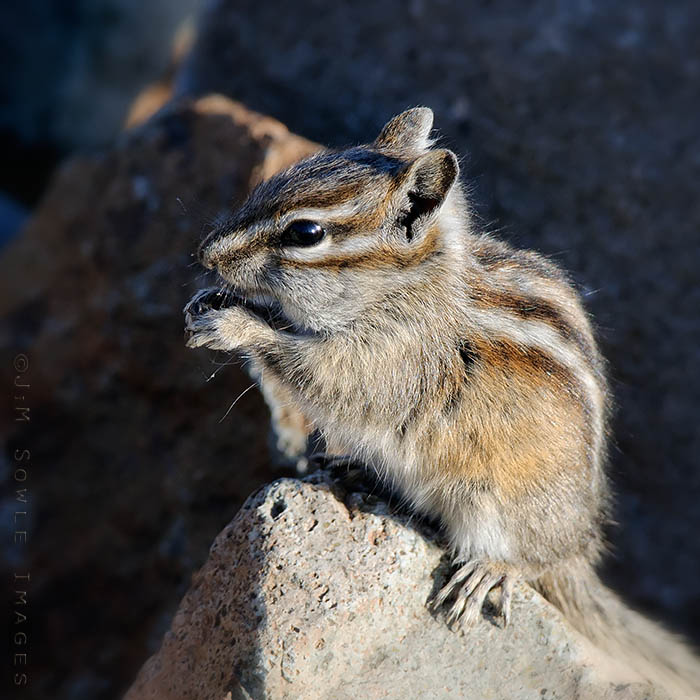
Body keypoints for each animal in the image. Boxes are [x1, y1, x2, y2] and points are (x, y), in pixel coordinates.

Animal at [184, 108, 700, 696]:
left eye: (305, 232)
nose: (204, 253)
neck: (406, 285)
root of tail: (578, 548)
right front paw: (210, 299)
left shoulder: (385, 362)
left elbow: (314, 371)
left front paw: (236, 325)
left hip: (497, 506)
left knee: (530, 559)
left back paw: (488, 571)